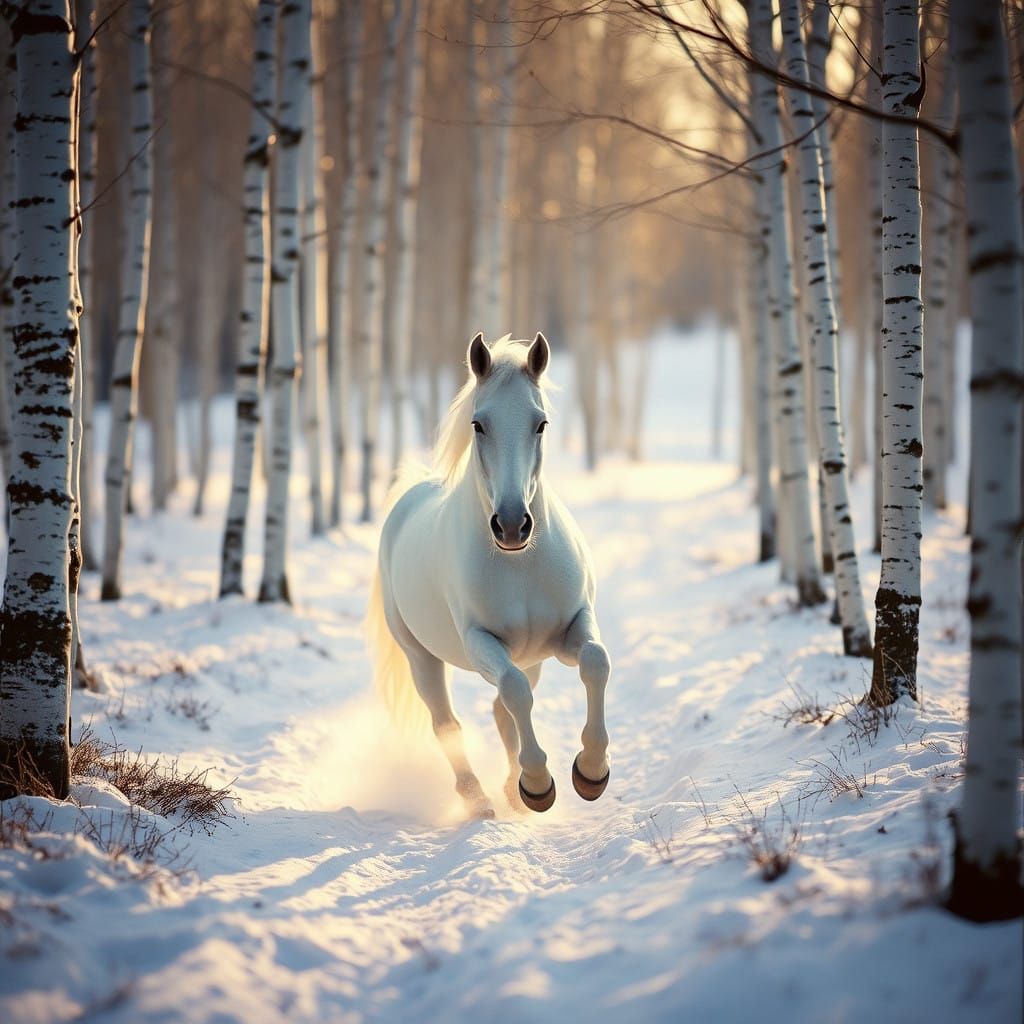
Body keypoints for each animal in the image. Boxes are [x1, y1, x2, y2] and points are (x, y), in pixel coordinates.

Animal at [366, 331, 611, 817]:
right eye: (479, 425)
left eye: (541, 423)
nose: (513, 525)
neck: (521, 566)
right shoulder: (481, 643)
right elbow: (515, 693)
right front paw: (538, 786)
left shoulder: (571, 629)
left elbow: (595, 661)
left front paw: (591, 772)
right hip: (421, 657)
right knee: (447, 723)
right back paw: (479, 799)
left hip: (532, 655)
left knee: (501, 712)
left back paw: (508, 792)